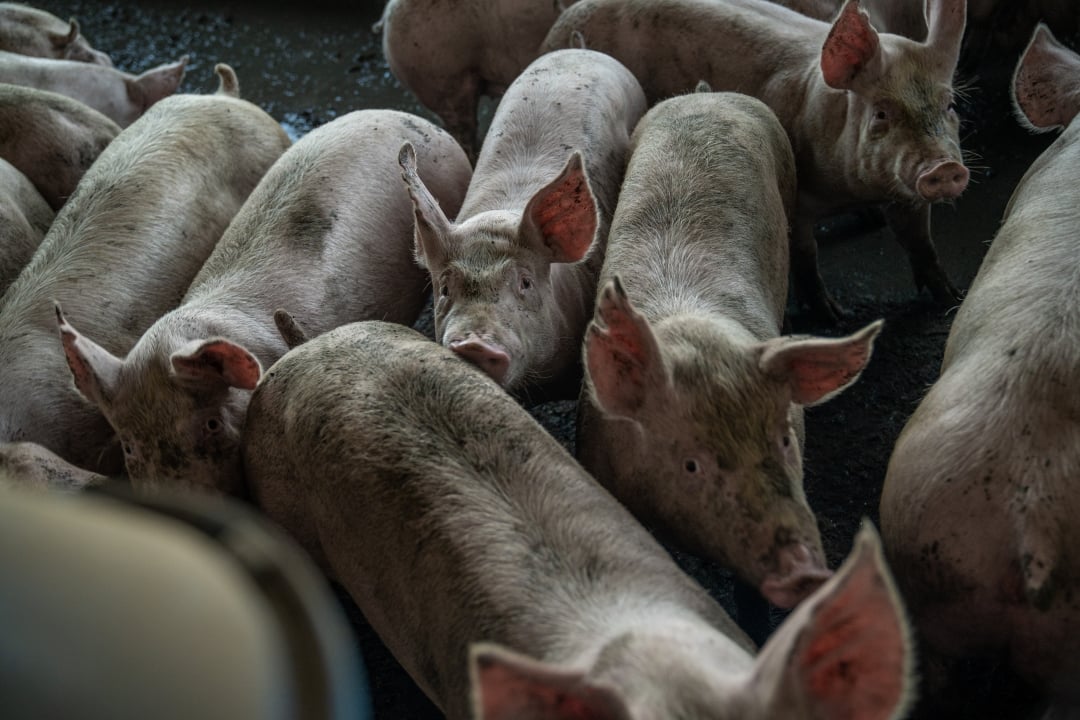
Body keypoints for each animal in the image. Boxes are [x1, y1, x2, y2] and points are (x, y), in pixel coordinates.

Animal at [542, 0, 970, 322]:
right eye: (882, 113)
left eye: (951, 105)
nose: (944, 168)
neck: (854, 191)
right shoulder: (798, 201)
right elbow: (805, 254)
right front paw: (835, 315)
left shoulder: (905, 198)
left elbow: (920, 242)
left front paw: (952, 296)